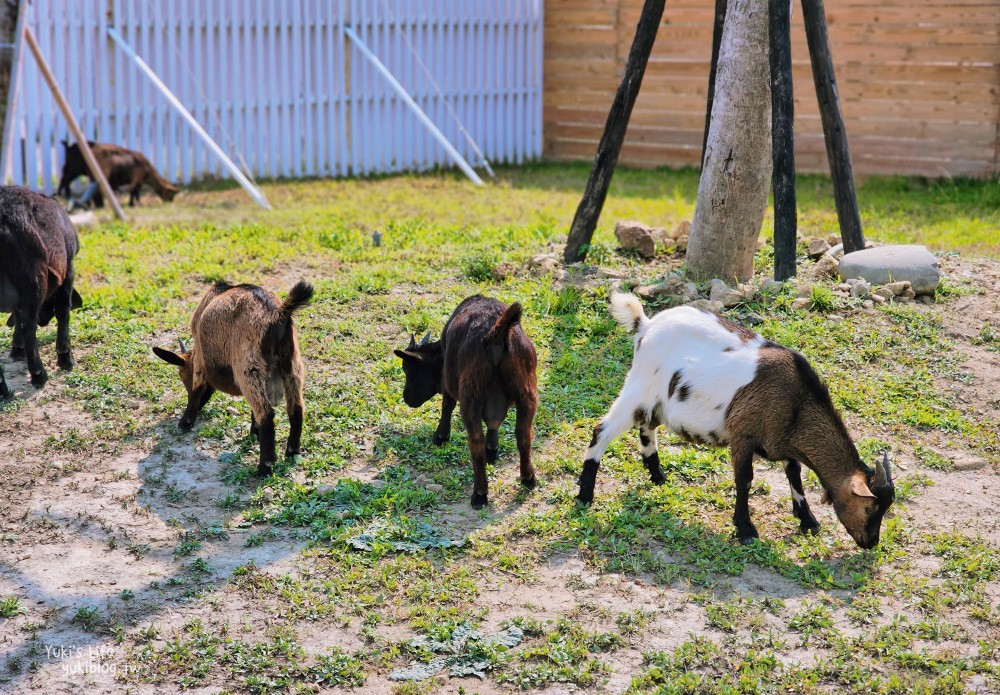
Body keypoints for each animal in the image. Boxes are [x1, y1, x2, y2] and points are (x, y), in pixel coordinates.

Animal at [0, 188, 83, 400]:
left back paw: (3, 389)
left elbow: (17, 319)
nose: (44, 321)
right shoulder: (68, 270)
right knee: (29, 327)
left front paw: (16, 348)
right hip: (33, 280)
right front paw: (65, 358)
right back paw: (39, 375)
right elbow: (63, 312)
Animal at [152, 280, 312, 476]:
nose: (200, 408)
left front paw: (185, 422)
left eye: (183, 377)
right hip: (292, 365)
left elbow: (197, 389)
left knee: (266, 414)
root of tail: (278, 315)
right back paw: (291, 452)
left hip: (248, 367)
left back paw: (264, 468)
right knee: (296, 408)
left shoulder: (200, 359)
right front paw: (254, 432)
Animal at [394, 296, 540, 508]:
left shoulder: (448, 380)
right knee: (524, 434)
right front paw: (492, 450)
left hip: (471, 395)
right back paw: (528, 478)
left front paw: (440, 437)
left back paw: (479, 493)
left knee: (475, 440)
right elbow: (494, 424)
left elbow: (447, 405)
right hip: (527, 391)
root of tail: (496, 334)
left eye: (408, 369)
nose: (407, 398)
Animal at [580, 294, 900, 548]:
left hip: (659, 401)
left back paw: (658, 476)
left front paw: (808, 520)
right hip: (639, 387)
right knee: (602, 431)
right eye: (870, 509)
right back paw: (584, 497)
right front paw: (746, 529)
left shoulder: (781, 438)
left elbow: (794, 475)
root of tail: (645, 326)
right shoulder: (743, 435)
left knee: (646, 427)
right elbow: (744, 480)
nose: (871, 543)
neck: (797, 400)